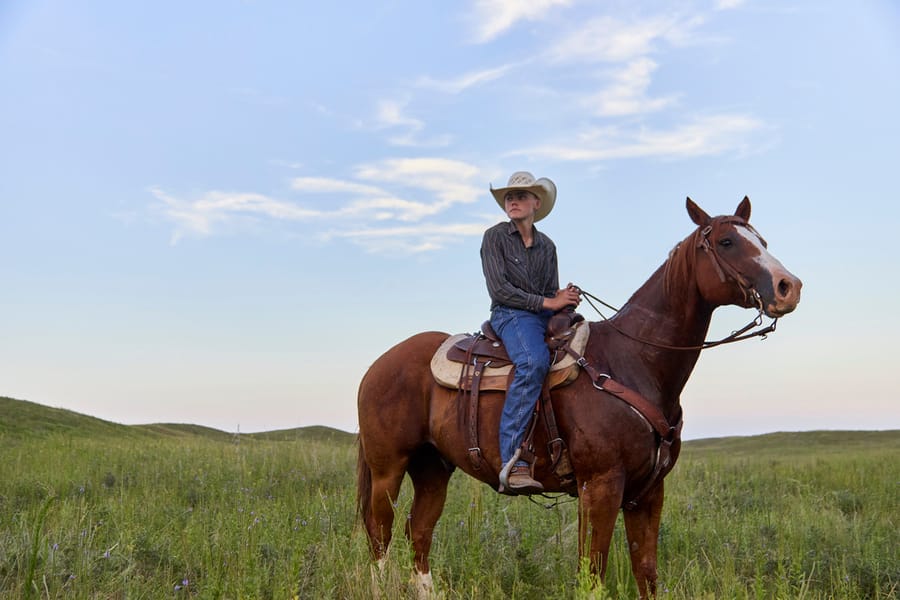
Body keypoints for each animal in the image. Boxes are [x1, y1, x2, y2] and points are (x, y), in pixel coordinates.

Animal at [356, 197, 800, 596]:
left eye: (761, 239)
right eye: (726, 242)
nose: (788, 287)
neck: (632, 360)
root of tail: (377, 365)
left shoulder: (647, 492)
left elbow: (647, 574)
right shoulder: (600, 486)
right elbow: (593, 576)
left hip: (432, 469)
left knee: (418, 530)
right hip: (388, 468)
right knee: (380, 533)